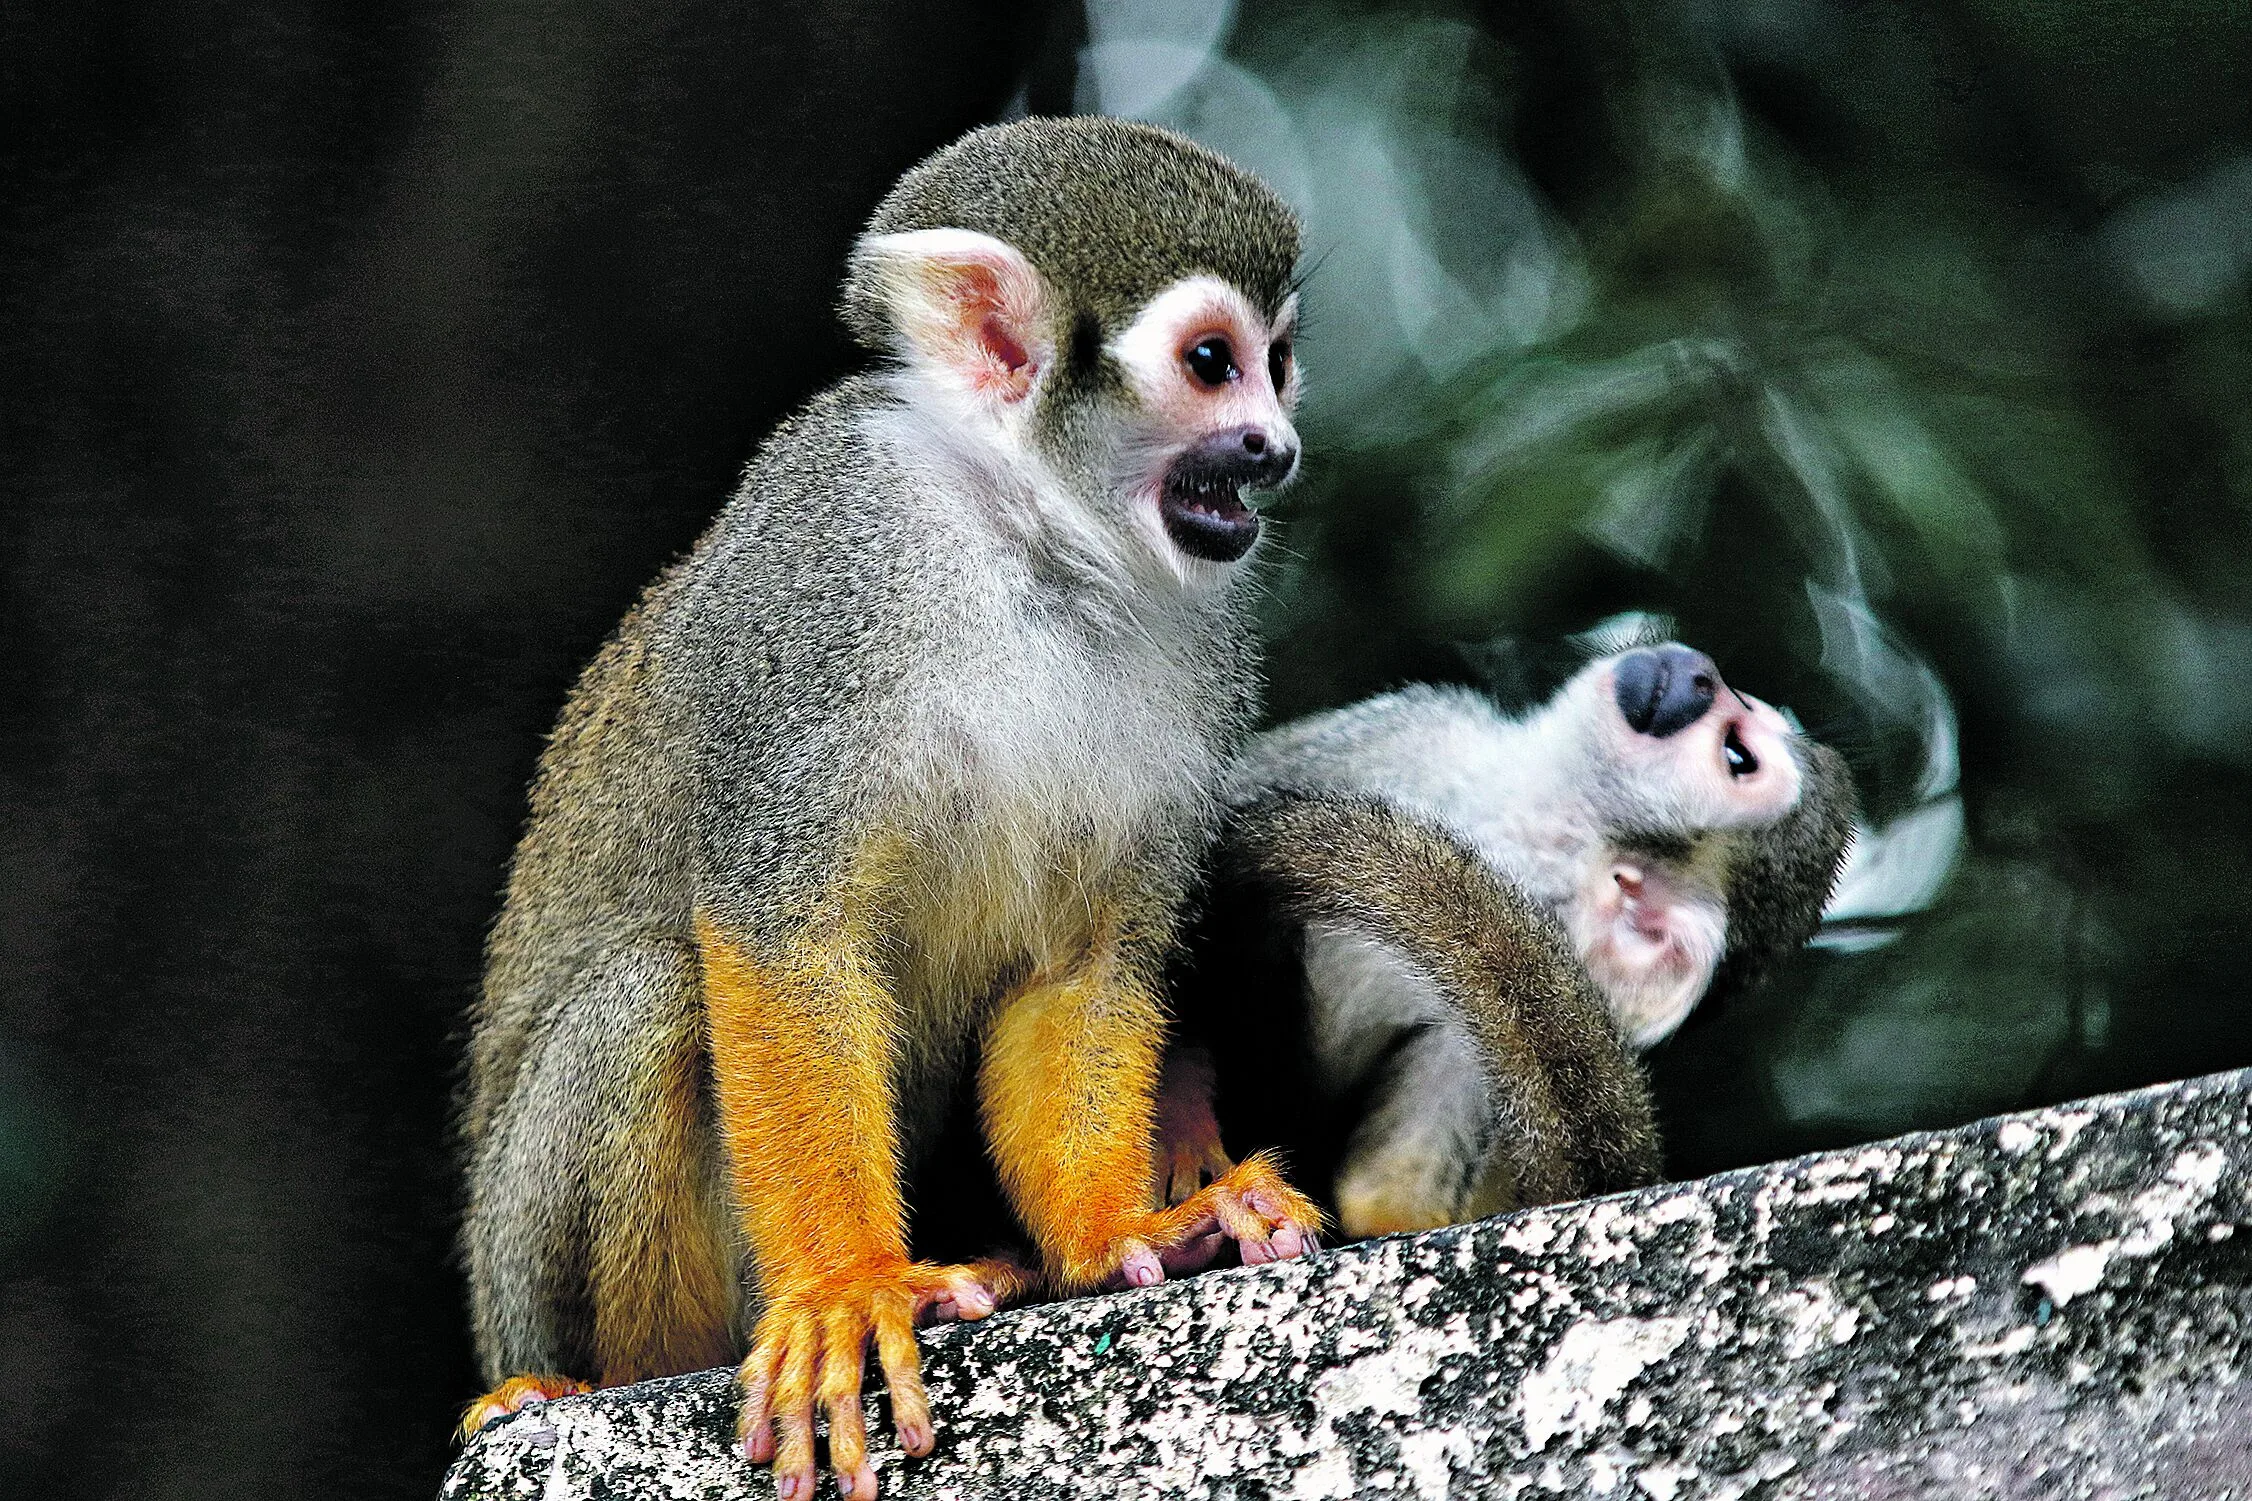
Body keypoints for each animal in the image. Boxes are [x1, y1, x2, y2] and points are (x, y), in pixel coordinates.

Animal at [466, 120, 1324, 1501]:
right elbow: (782, 936)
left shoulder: (1205, 650)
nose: (1272, 445)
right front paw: (845, 1288)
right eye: (1211, 365)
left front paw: (1119, 1227)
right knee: (652, 992)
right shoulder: (826, 569)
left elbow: (1083, 963)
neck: (1030, 543)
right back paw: (618, 1374)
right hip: (521, 1260)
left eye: (1278, 366)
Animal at [1162, 648, 1846, 1242]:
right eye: (1743, 705)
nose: (1703, 674)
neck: (1516, 838)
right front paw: (1183, 1118)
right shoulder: (1404, 729)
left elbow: (1379, 1207)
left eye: (1738, 756)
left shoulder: (1466, 1067)